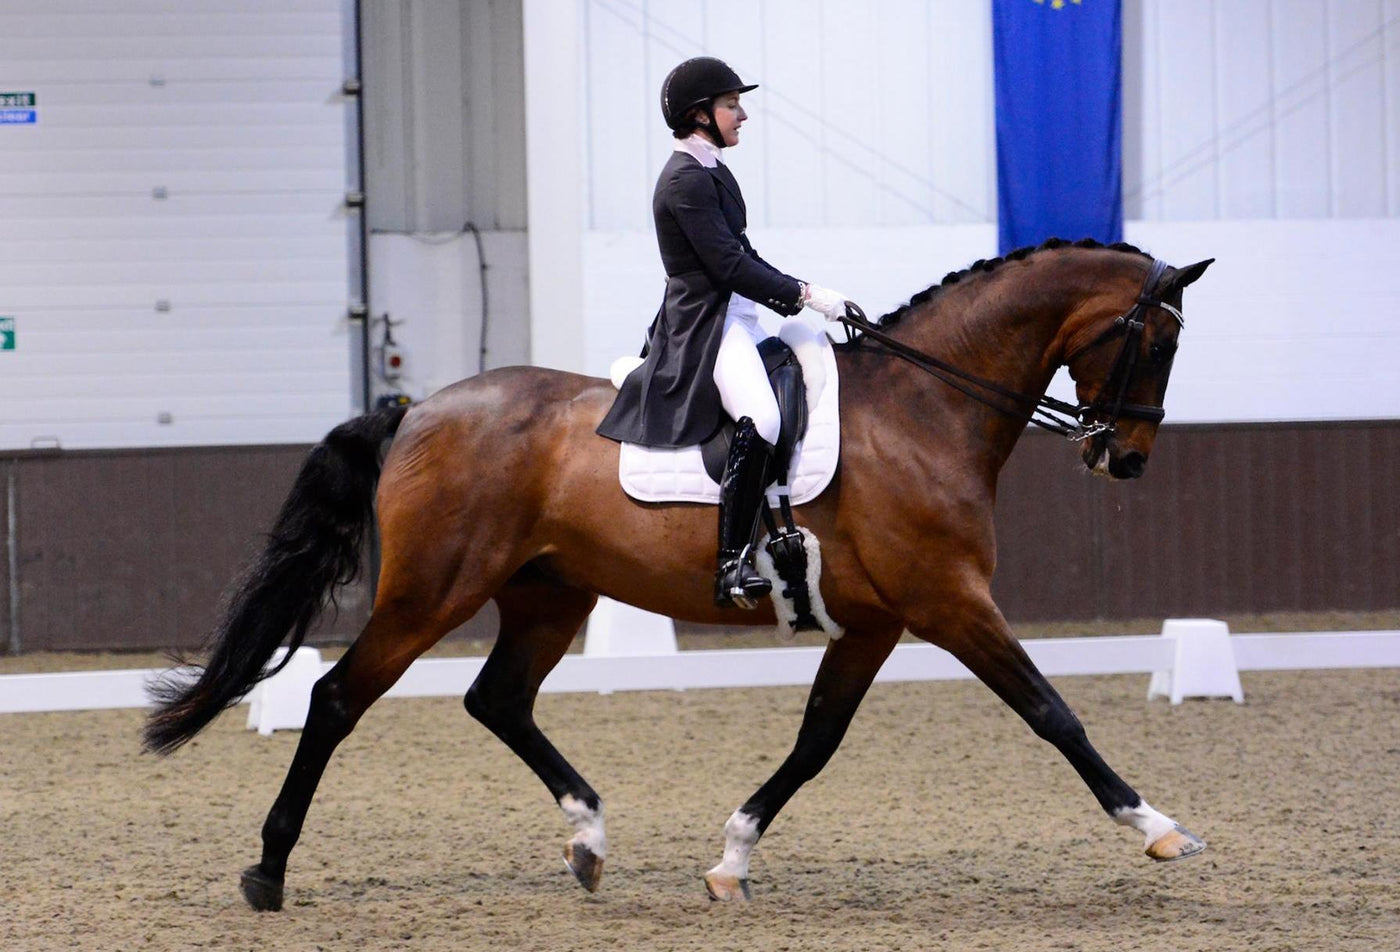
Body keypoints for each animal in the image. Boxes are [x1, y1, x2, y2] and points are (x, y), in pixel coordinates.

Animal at [145, 238, 1213, 911]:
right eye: (1158, 340)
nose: (1124, 461)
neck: (925, 408)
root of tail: (417, 410)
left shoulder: (875, 623)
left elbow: (816, 742)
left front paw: (731, 862)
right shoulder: (949, 601)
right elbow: (1052, 713)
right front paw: (1160, 828)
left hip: (548, 592)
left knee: (497, 700)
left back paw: (588, 841)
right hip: (430, 593)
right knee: (335, 700)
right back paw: (269, 872)